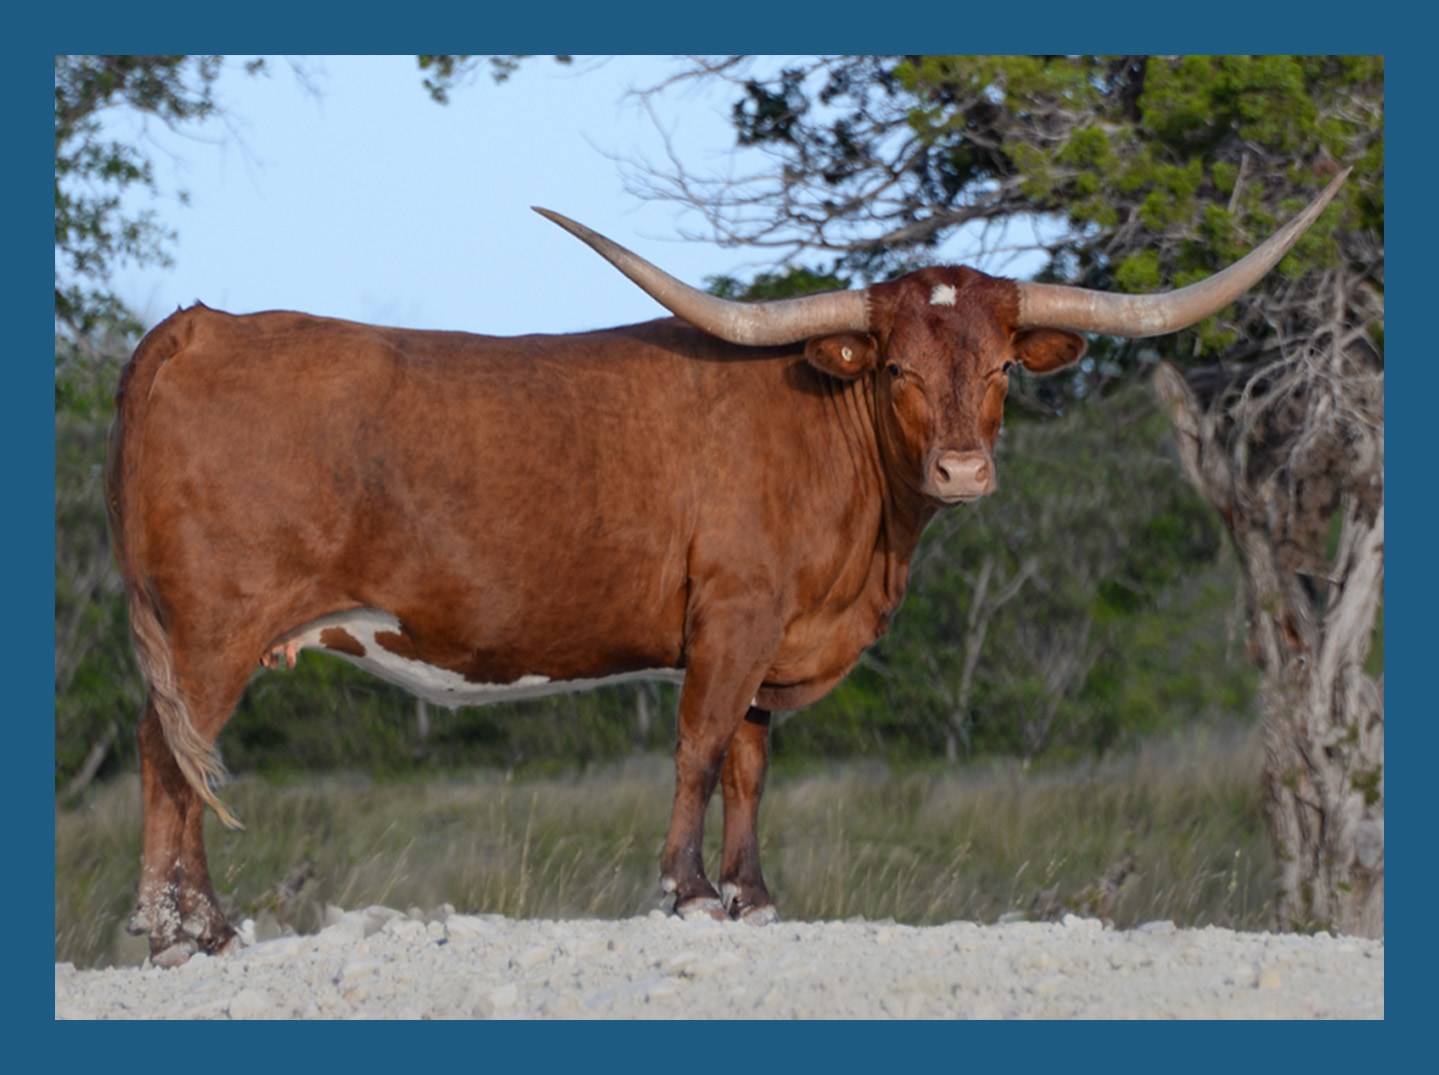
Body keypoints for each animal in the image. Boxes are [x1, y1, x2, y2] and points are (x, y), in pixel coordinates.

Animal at [105, 170, 1348, 966]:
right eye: (895, 368)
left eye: (999, 367)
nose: (961, 469)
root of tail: (199, 322)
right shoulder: (732, 617)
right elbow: (699, 748)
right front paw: (690, 892)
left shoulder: (774, 642)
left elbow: (751, 764)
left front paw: (754, 895)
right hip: (214, 624)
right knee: (174, 759)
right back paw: (187, 932)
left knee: (170, 758)